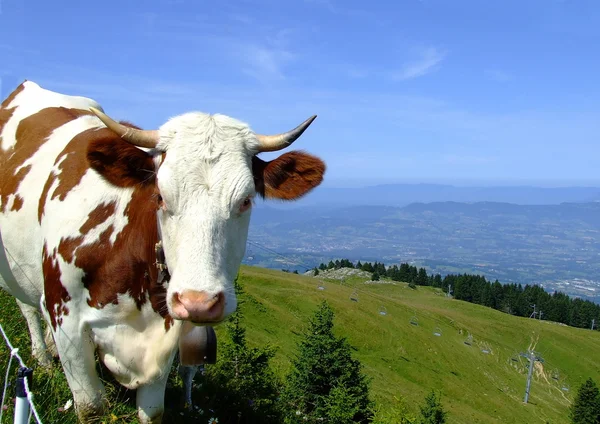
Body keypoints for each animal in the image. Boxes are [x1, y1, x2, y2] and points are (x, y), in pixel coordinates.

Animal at [0, 81, 326, 422]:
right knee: (27, 309)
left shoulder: (165, 339)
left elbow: (153, 411)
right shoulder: (67, 323)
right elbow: (91, 407)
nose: (199, 302)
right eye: (160, 196)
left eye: (246, 200)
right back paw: (43, 359)